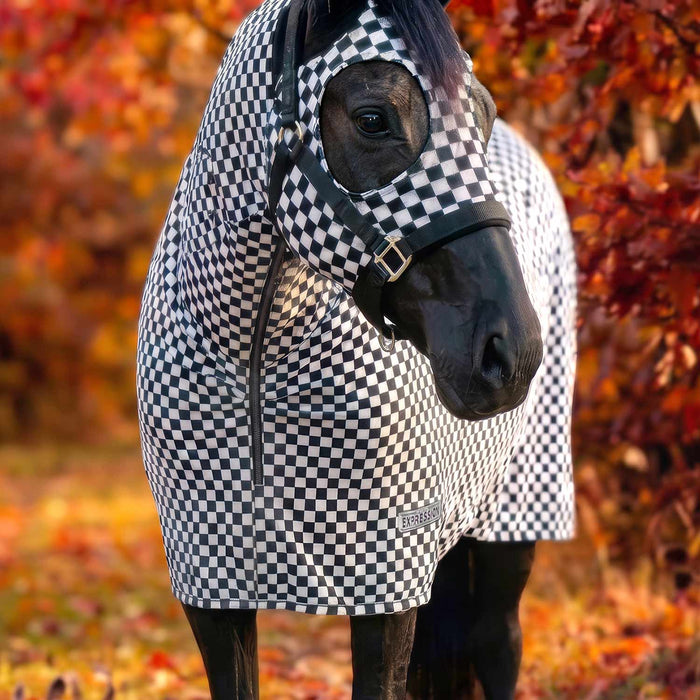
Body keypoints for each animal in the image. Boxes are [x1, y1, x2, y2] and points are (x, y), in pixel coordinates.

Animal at [136, 0, 577, 697]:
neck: (254, 354)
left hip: (515, 521)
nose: (510, 353)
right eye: (373, 118)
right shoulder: (212, 589)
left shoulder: (385, 584)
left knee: (498, 644)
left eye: (482, 114)